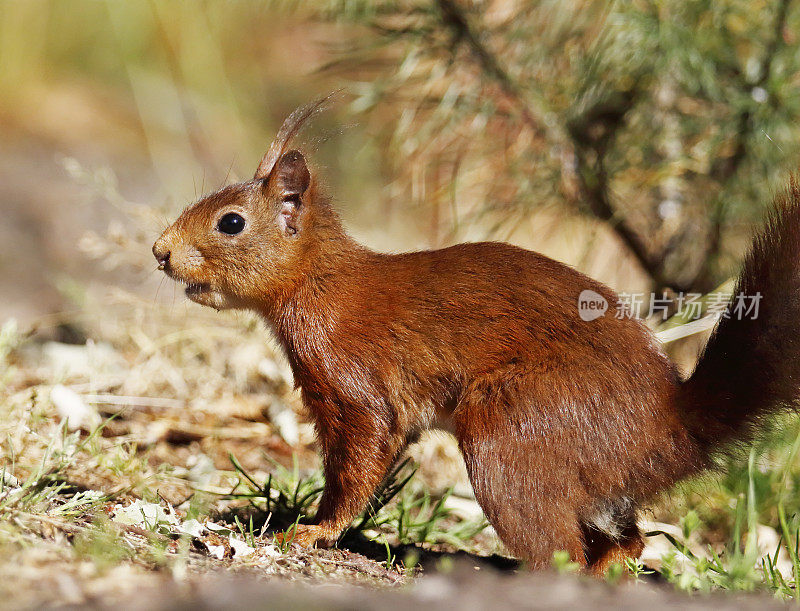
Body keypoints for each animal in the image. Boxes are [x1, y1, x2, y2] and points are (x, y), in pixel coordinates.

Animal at [153, 97, 800, 572]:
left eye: (231, 223)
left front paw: (312, 530)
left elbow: (358, 463)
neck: (321, 284)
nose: (160, 252)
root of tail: (671, 427)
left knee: (561, 553)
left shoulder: (353, 383)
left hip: (511, 432)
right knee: (626, 542)